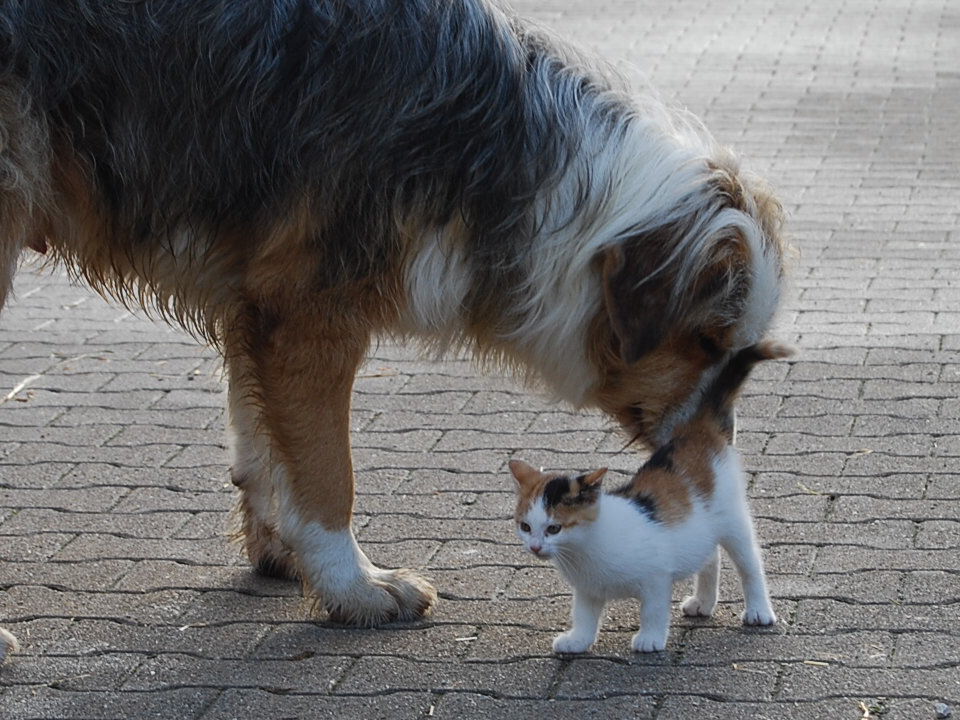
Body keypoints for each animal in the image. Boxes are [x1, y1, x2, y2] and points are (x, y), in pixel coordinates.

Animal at [506, 338, 792, 652]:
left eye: (554, 528)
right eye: (525, 527)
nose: (535, 547)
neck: (584, 550)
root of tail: (698, 430)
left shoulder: (657, 576)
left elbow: (653, 609)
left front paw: (650, 639)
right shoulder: (588, 589)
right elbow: (584, 616)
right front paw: (577, 640)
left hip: (733, 521)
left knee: (750, 565)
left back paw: (759, 610)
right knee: (710, 558)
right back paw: (703, 602)